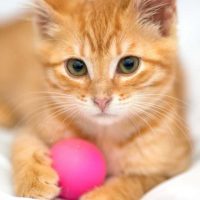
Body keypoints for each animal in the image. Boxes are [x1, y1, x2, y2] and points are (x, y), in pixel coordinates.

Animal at [0, 0, 191, 199]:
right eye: (76, 67)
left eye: (129, 64)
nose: (101, 100)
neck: (105, 135)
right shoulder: (37, 120)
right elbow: (23, 144)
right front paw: (33, 177)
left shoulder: (176, 163)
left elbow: (138, 180)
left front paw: (104, 194)